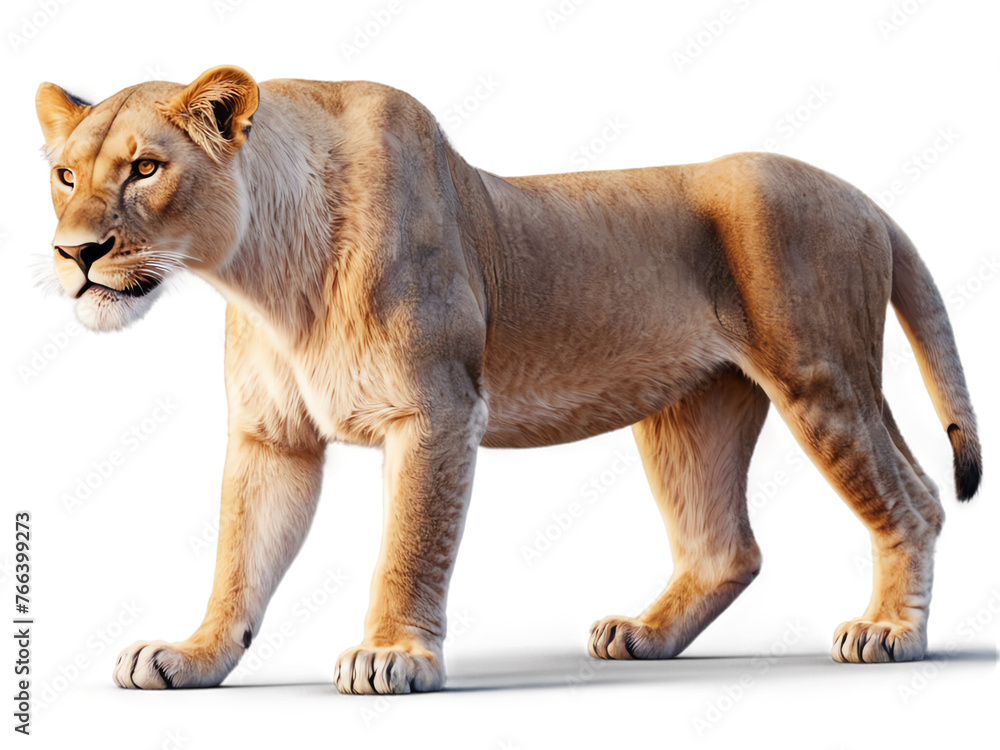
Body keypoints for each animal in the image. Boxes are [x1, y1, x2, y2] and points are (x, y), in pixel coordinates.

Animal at [35, 65, 981, 694]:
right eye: (65, 174)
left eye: (146, 168)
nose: (75, 253)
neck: (266, 277)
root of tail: (866, 198)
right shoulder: (273, 437)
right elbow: (239, 557)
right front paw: (194, 655)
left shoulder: (437, 411)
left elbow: (410, 544)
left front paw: (394, 656)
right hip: (690, 412)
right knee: (726, 548)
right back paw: (642, 636)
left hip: (822, 380)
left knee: (918, 500)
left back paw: (888, 632)